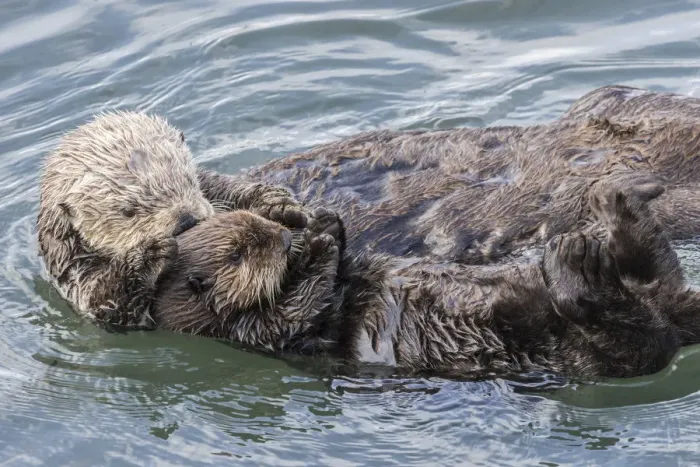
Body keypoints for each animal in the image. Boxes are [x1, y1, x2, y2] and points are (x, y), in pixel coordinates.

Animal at [38, 111, 310, 329]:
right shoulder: (73, 269)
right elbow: (104, 304)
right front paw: (150, 254)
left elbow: (226, 188)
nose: (186, 221)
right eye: (128, 211)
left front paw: (278, 206)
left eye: (186, 179)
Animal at [154, 172, 699, 379]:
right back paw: (577, 265)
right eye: (241, 252)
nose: (285, 239)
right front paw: (322, 242)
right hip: (582, 353)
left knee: (656, 272)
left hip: (657, 293)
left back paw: (619, 205)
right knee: (633, 341)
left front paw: (324, 224)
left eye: (260, 224)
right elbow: (300, 308)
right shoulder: (264, 334)